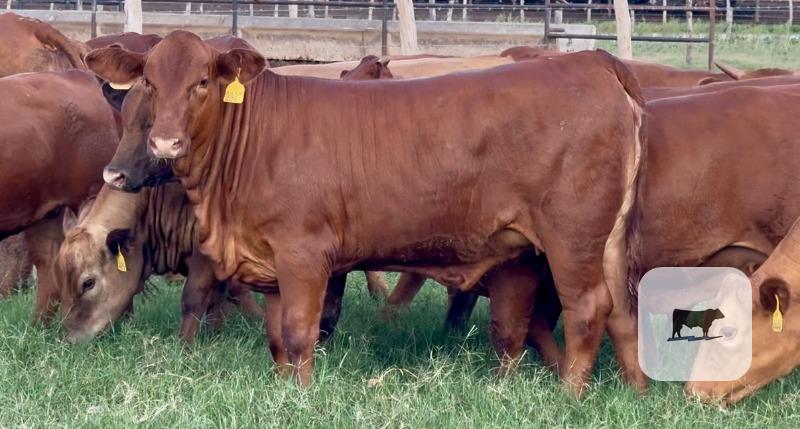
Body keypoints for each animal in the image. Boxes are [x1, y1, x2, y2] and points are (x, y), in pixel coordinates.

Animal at [86, 32, 647, 395]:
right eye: (149, 82)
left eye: (202, 81)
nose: (165, 142)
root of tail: (591, 61)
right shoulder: (270, 262)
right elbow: (276, 338)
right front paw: (282, 386)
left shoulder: (304, 255)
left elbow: (300, 332)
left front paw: (301, 396)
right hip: (608, 241)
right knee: (622, 309)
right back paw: (636, 389)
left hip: (572, 239)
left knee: (587, 309)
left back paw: (570, 395)